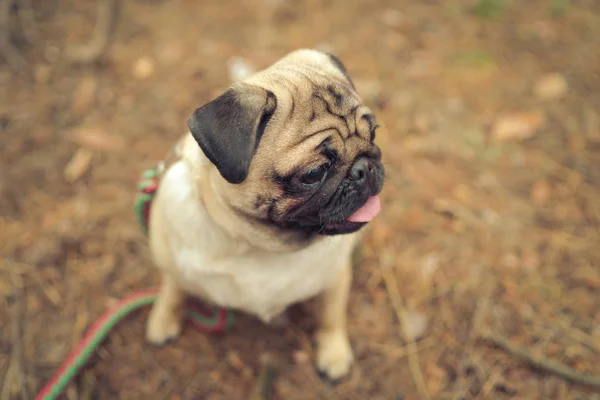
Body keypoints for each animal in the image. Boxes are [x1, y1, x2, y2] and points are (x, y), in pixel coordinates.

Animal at [148, 48, 386, 380]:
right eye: (313, 173)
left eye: (373, 134)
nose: (365, 168)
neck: (262, 245)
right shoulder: (171, 263)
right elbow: (172, 290)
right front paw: (163, 318)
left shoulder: (336, 278)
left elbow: (331, 316)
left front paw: (334, 353)